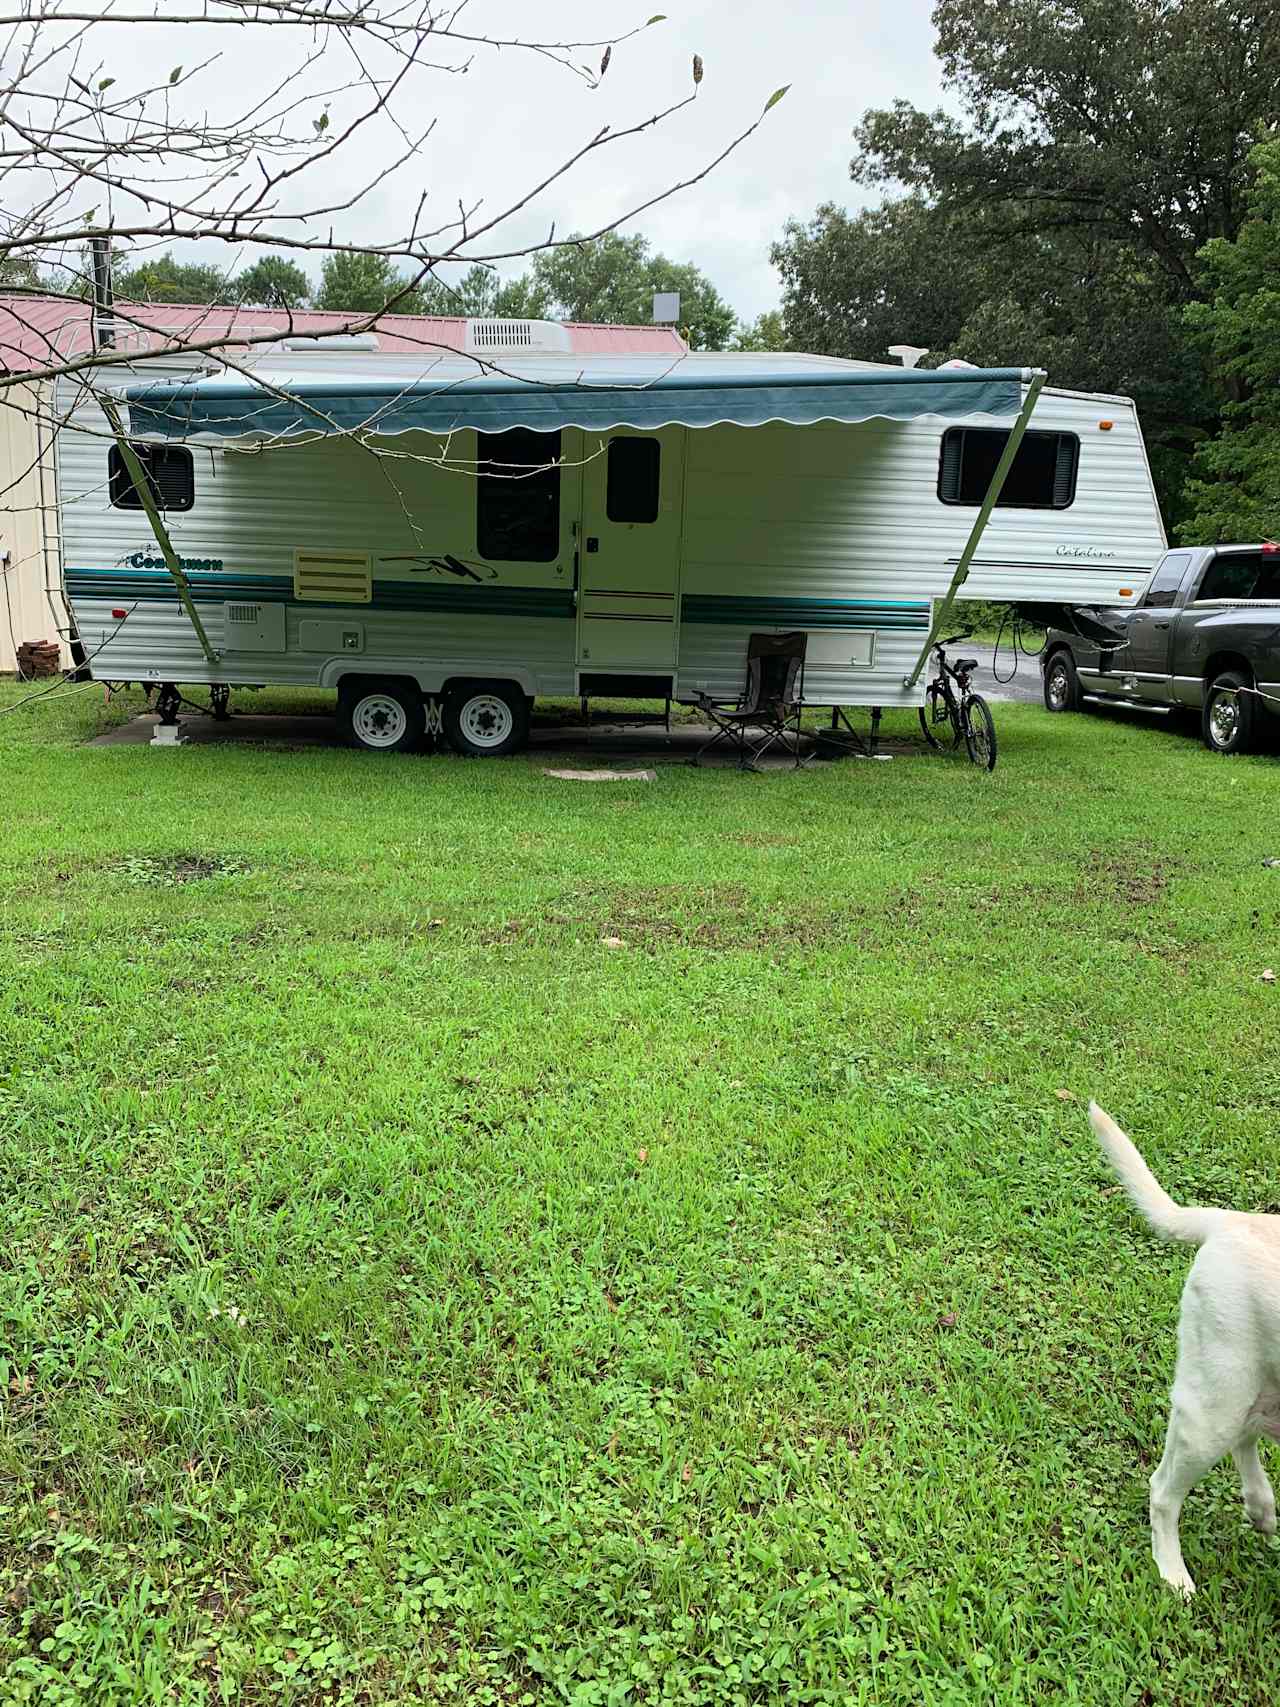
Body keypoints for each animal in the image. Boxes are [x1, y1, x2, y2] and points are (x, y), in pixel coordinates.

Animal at [1092, 1099, 1280, 1590]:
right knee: (1163, 1491)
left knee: (1246, 1435)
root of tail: (1234, 1218)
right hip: (1214, 1403)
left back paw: (1260, 1506)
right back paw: (1173, 1574)